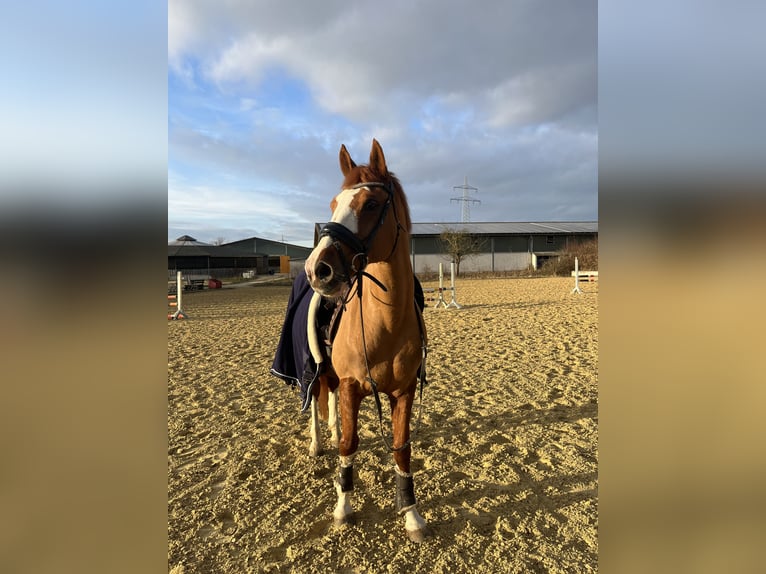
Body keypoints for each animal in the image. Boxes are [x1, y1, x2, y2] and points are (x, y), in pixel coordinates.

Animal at [304, 139, 431, 543]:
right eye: (334, 203)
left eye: (372, 204)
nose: (317, 269)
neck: (385, 325)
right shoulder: (350, 385)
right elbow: (350, 444)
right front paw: (343, 508)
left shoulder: (403, 391)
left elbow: (401, 449)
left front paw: (411, 514)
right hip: (314, 368)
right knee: (315, 401)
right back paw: (316, 443)